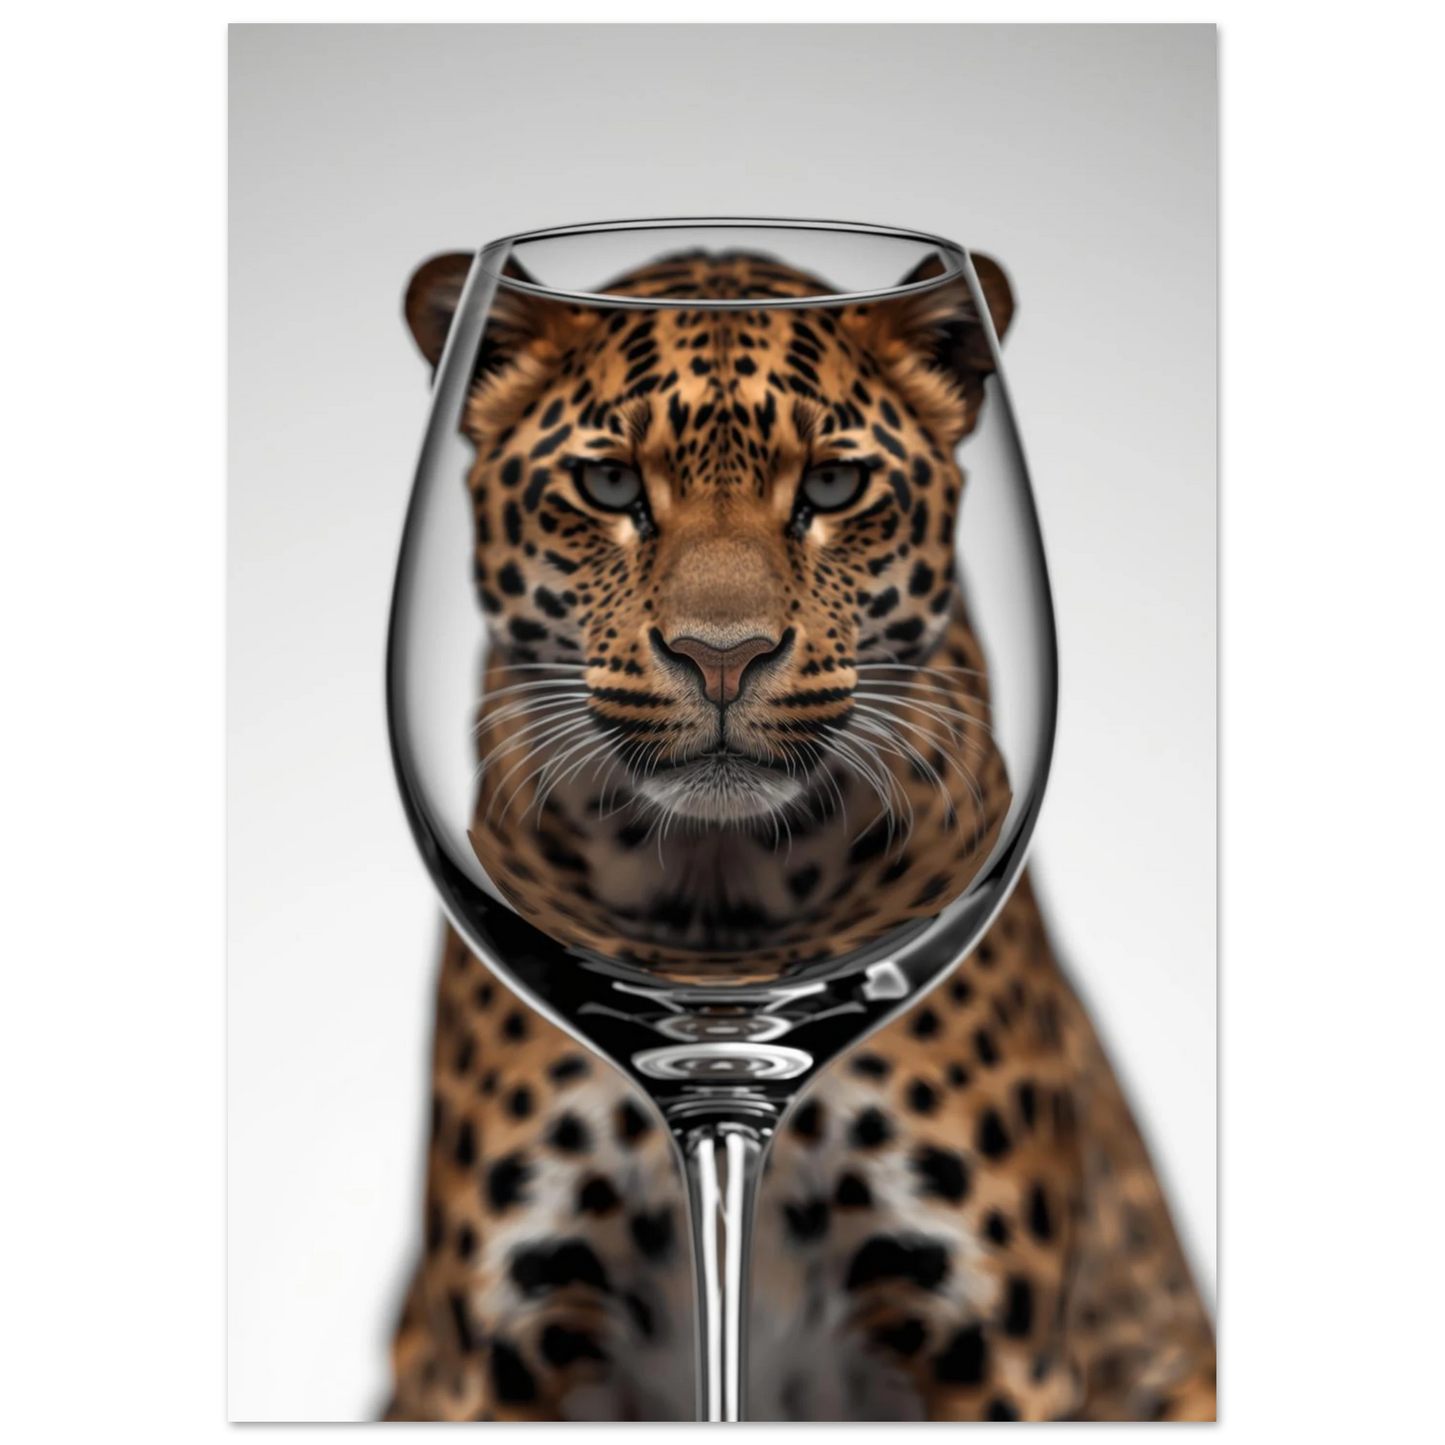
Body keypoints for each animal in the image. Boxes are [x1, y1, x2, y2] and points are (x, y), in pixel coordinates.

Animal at [383, 245, 1218, 1422]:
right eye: (609, 486)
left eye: (829, 487)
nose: (721, 656)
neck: (720, 927)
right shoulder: (491, 1343)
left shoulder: (987, 1339)